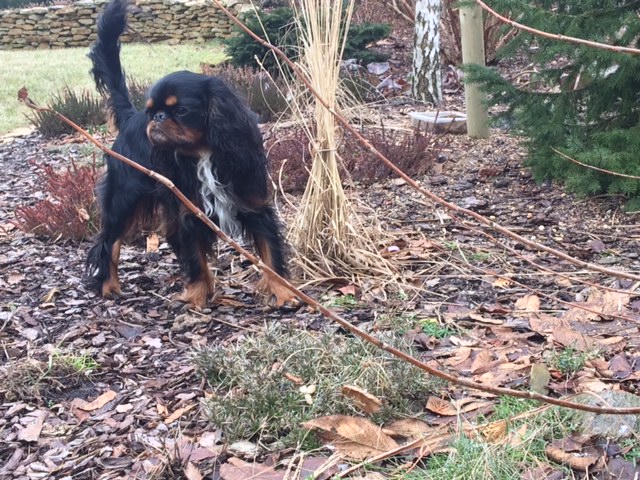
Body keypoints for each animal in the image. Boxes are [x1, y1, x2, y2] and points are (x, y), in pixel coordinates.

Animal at [86, 0, 294, 308]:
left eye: (181, 110)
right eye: (152, 110)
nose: (156, 117)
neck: (203, 153)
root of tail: (131, 117)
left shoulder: (255, 205)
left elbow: (270, 252)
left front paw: (285, 293)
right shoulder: (190, 213)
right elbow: (196, 258)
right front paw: (196, 299)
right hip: (125, 196)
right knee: (109, 240)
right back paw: (108, 286)